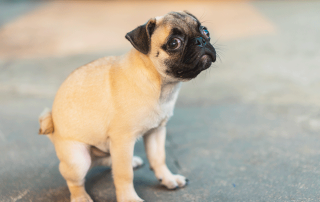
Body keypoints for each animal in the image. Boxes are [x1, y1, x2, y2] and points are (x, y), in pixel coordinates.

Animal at [38, 11, 216, 202]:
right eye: (174, 43)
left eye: (205, 31)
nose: (201, 40)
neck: (160, 85)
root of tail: (53, 127)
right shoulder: (123, 140)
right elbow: (124, 174)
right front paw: (129, 198)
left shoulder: (156, 131)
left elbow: (158, 158)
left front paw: (168, 178)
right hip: (78, 160)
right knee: (76, 181)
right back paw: (81, 197)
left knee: (107, 160)